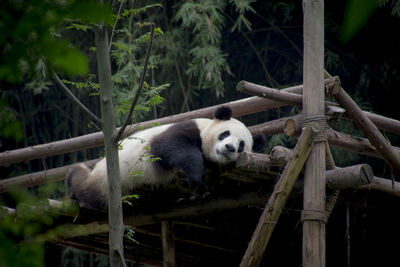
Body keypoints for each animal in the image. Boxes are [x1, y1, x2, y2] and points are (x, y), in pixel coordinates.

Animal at [65, 106, 266, 209]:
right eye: (225, 134)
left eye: (242, 145)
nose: (230, 147)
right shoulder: (186, 128)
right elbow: (171, 146)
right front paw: (196, 175)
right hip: (108, 180)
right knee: (87, 190)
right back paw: (74, 174)